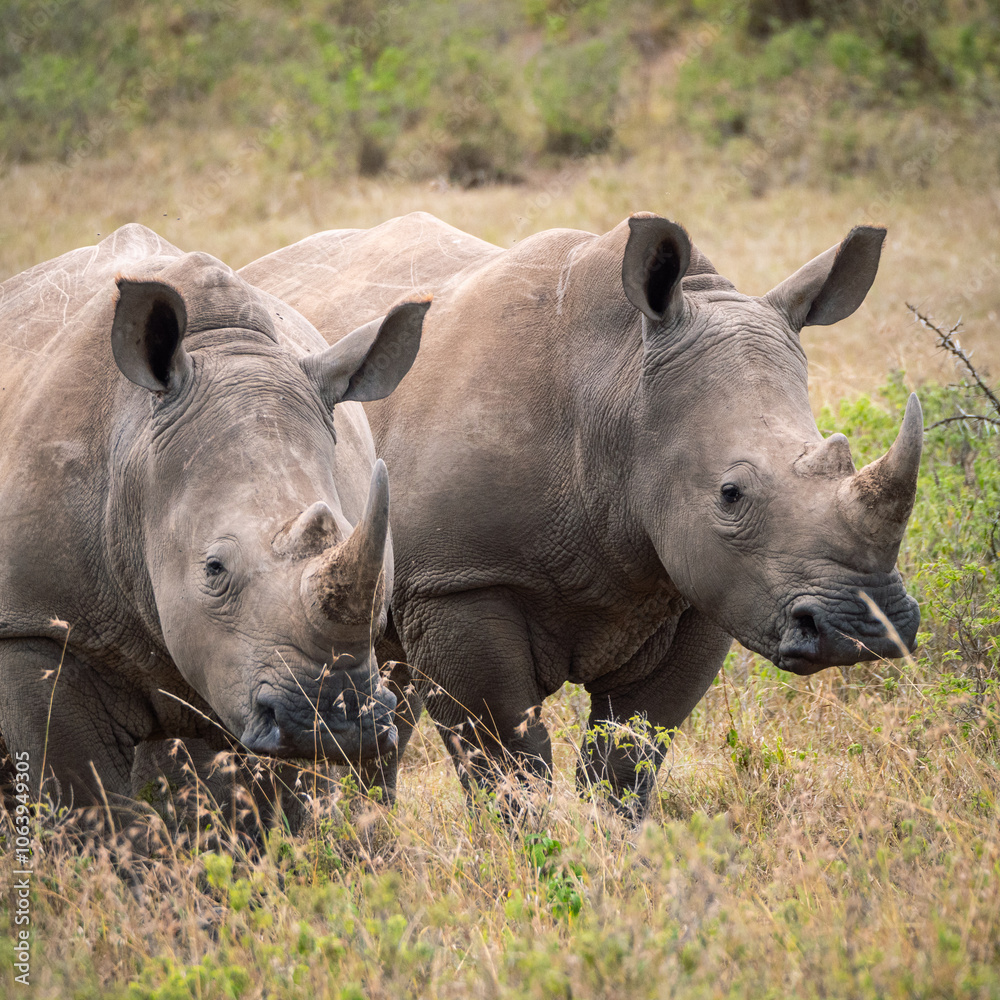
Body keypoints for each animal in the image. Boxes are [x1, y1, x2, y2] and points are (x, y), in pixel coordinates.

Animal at [0, 224, 429, 809]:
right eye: (213, 569)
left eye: (384, 575)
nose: (336, 725)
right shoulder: (34, 626)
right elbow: (89, 803)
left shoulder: (249, 666)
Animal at [240, 211, 922, 816]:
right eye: (731, 493)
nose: (864, 629)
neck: (617, 385)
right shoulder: (455, 582)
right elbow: (507, 762)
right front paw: (528, 864)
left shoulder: (703, 588)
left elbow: (628, 756)